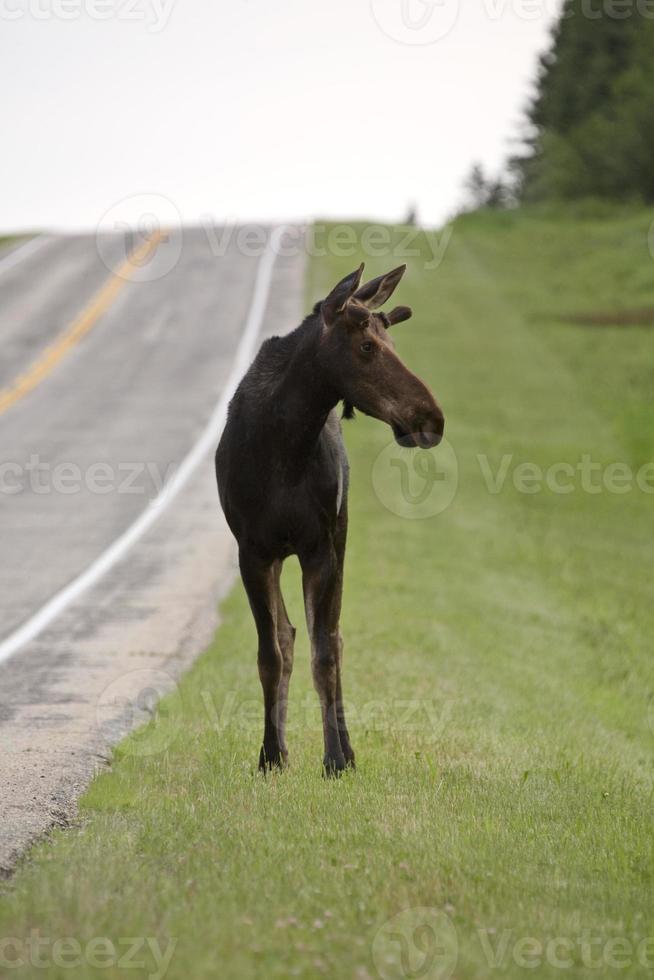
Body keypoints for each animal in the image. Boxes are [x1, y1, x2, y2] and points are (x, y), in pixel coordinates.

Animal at [217, 264, 446, 776]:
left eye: (391, 339)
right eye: (367, 347)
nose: (432, 418)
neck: (284, 446)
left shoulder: (319, 546)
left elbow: (324, 654)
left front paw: (336, 759)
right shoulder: (252, 551)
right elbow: (270, 653)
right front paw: (270, 755)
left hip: (340, 534)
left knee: (334, 639)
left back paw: (346, 747)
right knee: (289, 635)